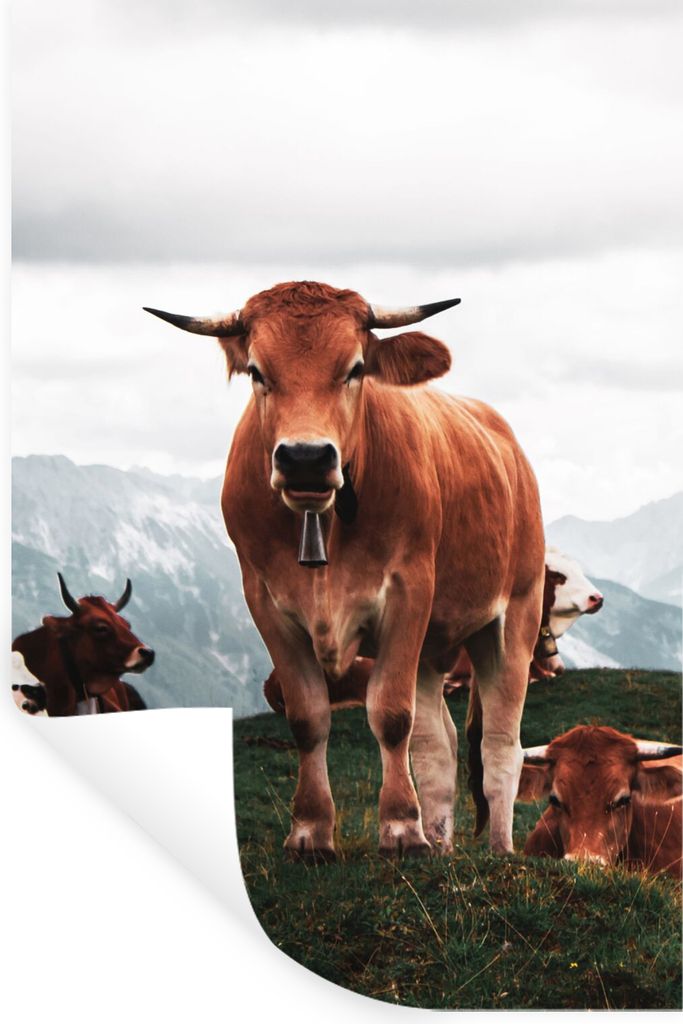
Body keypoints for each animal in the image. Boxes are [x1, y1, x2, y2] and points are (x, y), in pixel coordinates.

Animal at [146, 280, 545, 859]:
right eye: (257, 371)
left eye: (355, 368)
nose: (306, 458)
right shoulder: (264, 602)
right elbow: (308, 716)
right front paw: (311, 832)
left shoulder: (408, 592)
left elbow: (391, 715)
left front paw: (401, 830)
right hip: (432, 646)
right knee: (438, 745)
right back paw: (442, 844)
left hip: (515, 615)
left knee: (498, 744)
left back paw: (497, 849)